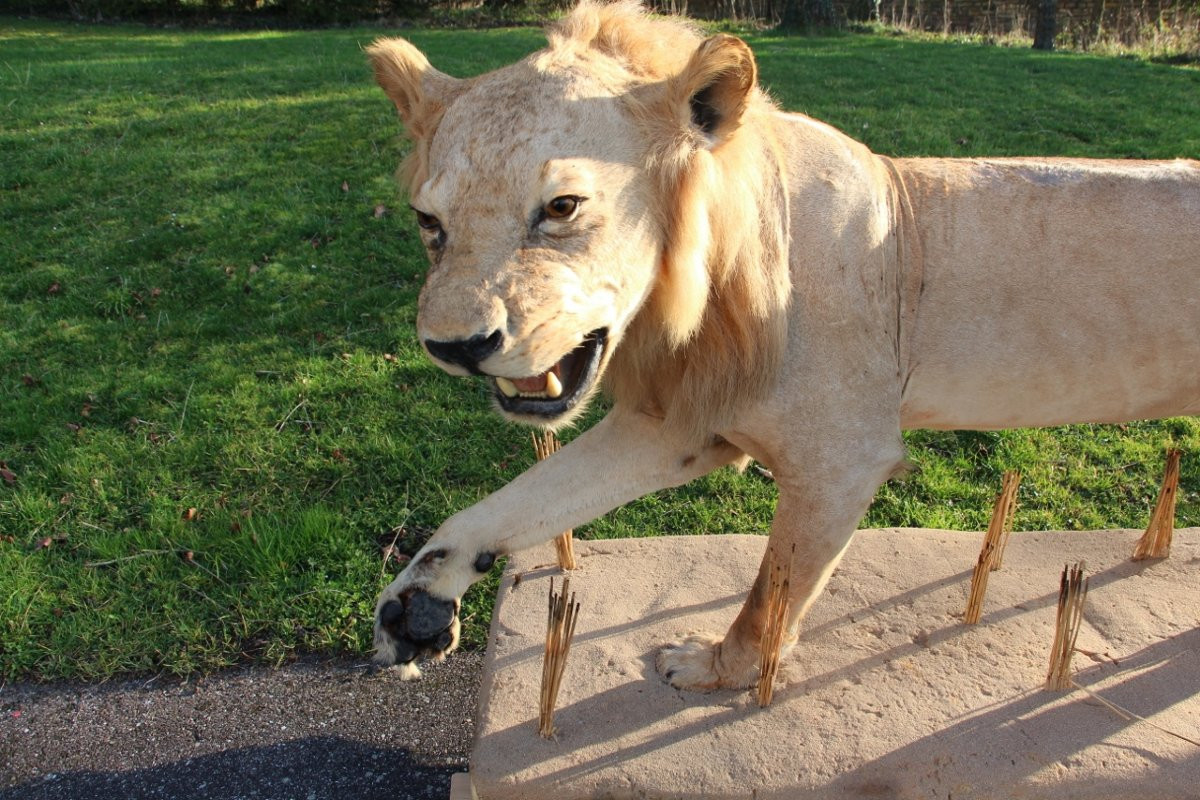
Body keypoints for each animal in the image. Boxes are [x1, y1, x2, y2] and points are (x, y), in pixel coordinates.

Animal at [365, 0, 1200, 690]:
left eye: (562, 208)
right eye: (429, 224)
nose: (454, 347)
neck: (700, 294)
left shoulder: (840, 461)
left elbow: (771, 595)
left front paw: (713, 671)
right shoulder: (680, 423)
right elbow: (520, 501)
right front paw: (415, 601)